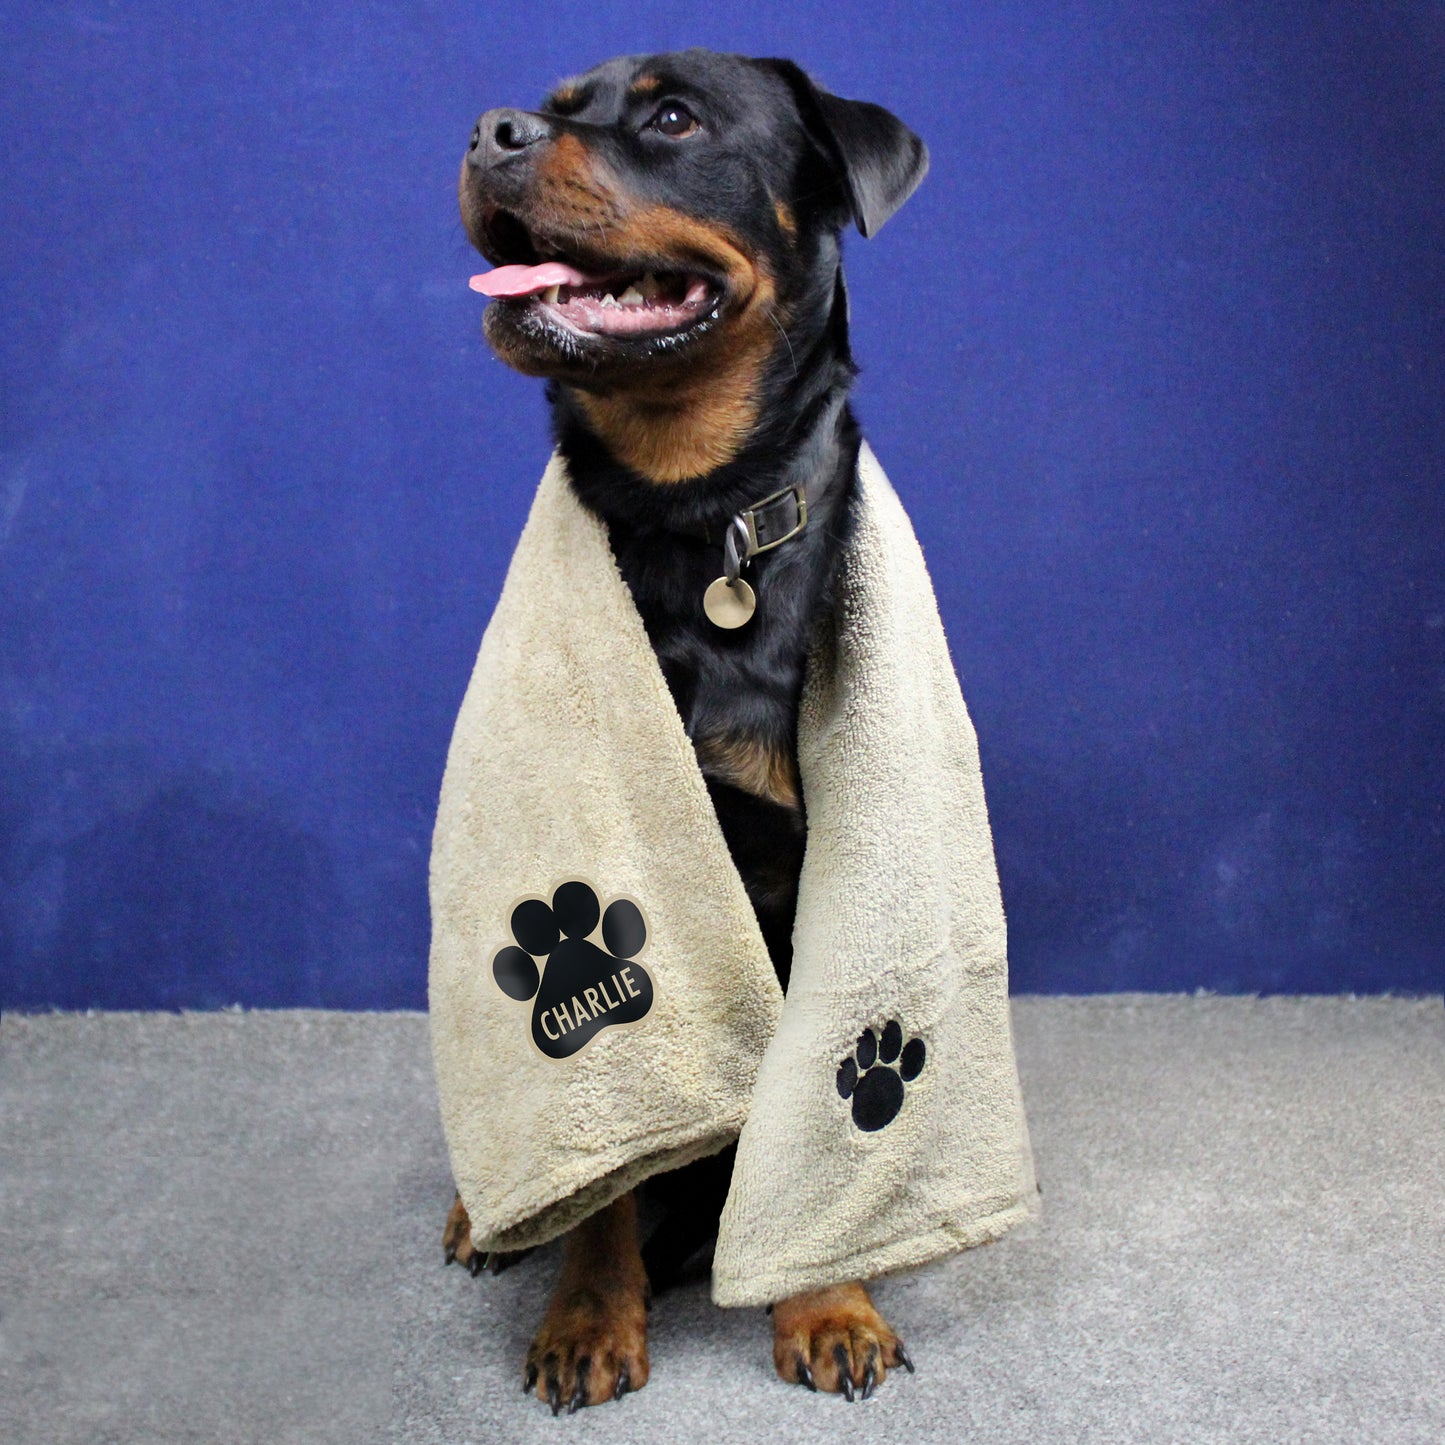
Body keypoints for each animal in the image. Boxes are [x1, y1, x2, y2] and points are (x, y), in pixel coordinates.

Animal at [445, 48, 930, 1410]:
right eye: (558, 106)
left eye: (672, 118)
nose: (492, 130)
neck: (695, 514)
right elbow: (613, 1152)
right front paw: (588, 1314)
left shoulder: (819, 869)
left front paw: (826, 1299)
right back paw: (479, 1213)